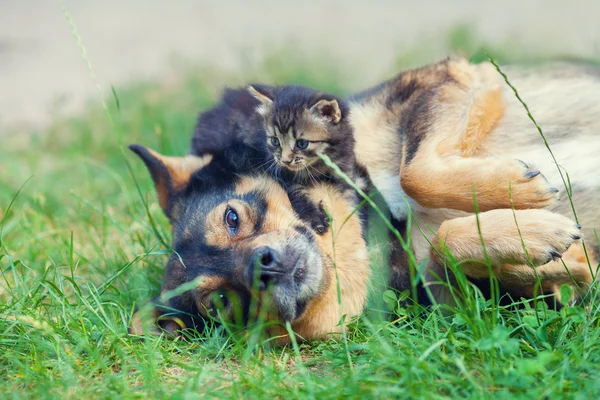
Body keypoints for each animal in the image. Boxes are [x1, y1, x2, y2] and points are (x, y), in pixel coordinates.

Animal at [246, 84, 368, 234]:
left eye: (302, 143)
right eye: (275, 141)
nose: (285, 161)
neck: (318, 166)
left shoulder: (344, 176)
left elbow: (351, 206)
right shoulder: (284, 176)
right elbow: (298, 195)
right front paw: (315, 217)